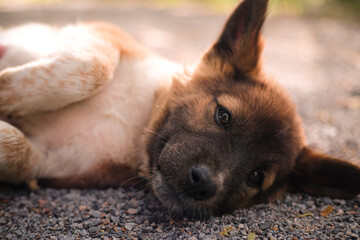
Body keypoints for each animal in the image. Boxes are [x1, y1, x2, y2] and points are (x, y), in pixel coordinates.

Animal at [0, 0, 358, 218]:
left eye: (256, 177)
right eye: (223, 115)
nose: (203, 184)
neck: (137, 121)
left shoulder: (50, 164)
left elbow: (17, 149)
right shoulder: (101, 34)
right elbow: (94, 68)